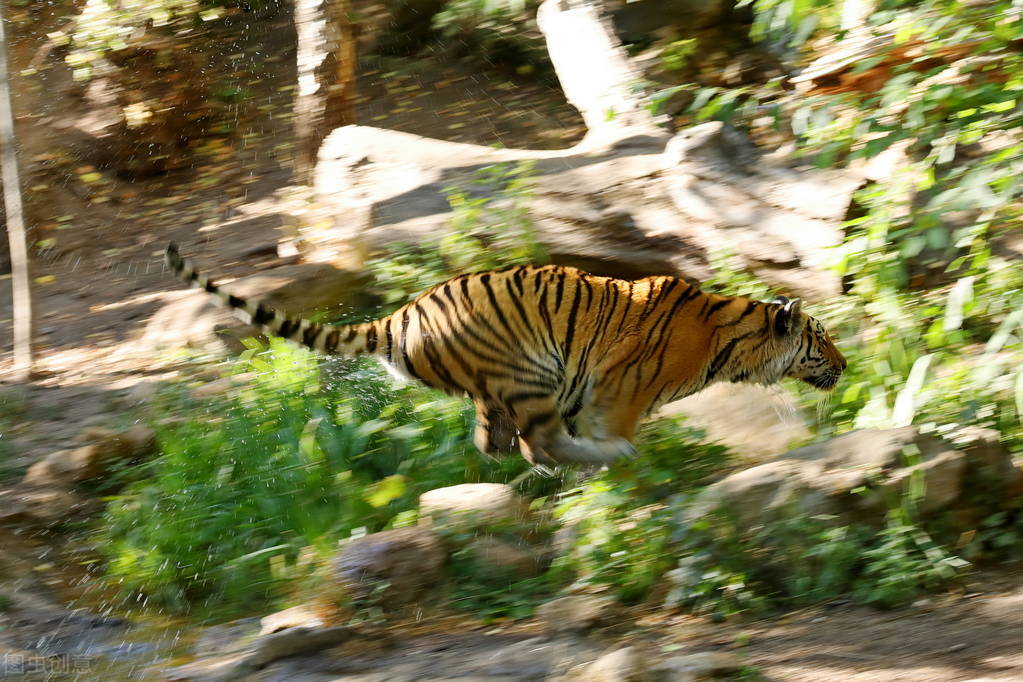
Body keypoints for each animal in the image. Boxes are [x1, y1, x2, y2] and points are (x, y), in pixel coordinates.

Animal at [165, 243, 846, 467]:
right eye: (822, 341)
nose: (844, 367)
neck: (730, 341)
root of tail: (400, 314)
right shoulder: (619, 391)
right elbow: (616, 429)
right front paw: (629, 458)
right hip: (531, 369)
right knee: (535, 442)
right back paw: (593, 462)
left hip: (501, 389)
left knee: (497, 443)